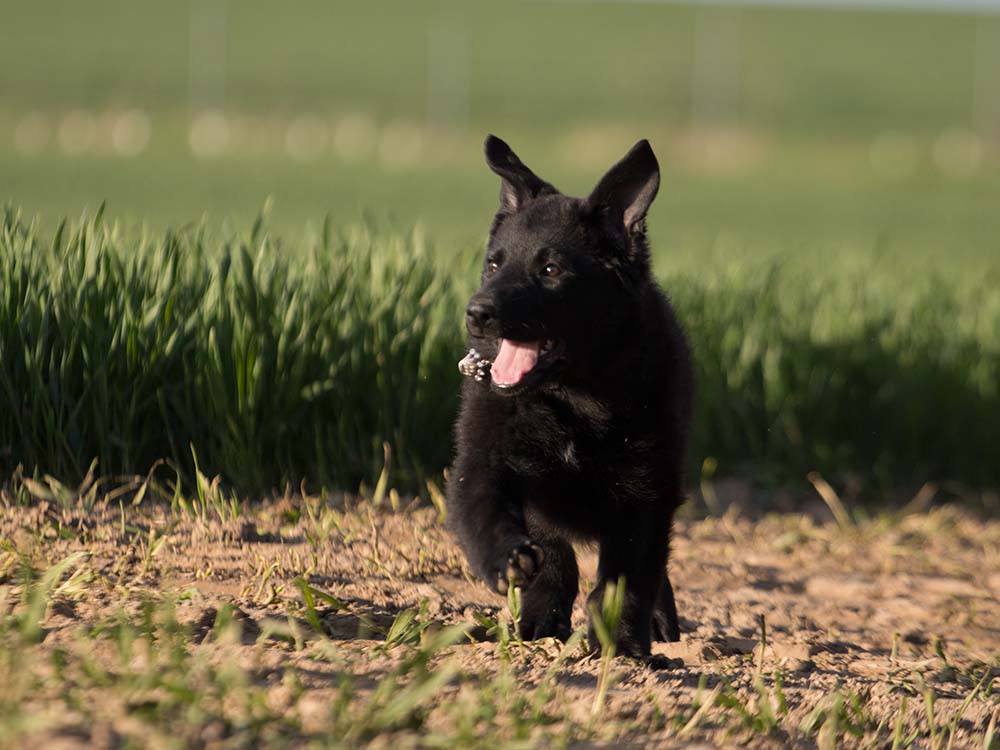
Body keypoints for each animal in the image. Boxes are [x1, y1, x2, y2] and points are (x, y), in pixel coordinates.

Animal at [448, 135, 696, 656]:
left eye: (550, 269)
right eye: (494, 263)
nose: (476, 313)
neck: (572, 398)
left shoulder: (646, 494)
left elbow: (628, 578)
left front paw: (622, 647)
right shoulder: (486, 460)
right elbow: (495, 516)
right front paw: (520, 583)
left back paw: (660, 625)